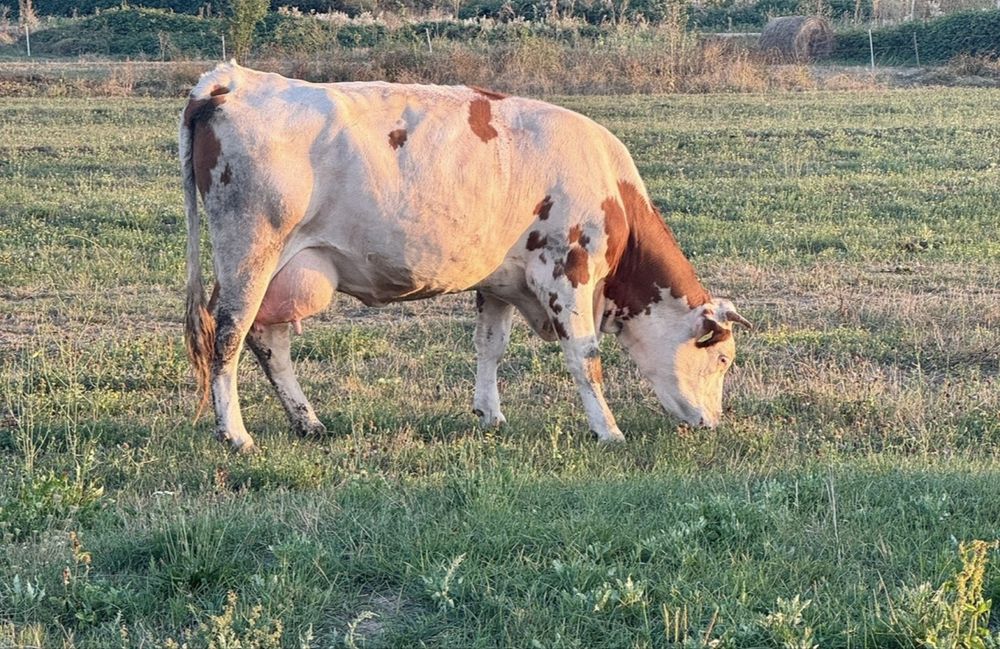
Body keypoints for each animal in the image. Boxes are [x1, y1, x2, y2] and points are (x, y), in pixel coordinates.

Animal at [180, 62, 751, 452]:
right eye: (722, 358)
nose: (712, 423)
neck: (612, 188)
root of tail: (230, 80)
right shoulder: (567, 271)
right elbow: (585, 358)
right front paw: (607, 430)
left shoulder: (500, 281)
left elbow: (489, 347)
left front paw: (490, 414)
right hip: (248, 253)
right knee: (228, 336)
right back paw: (235, 435)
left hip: (282, 270)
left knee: (267, 339)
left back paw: (307, 421)